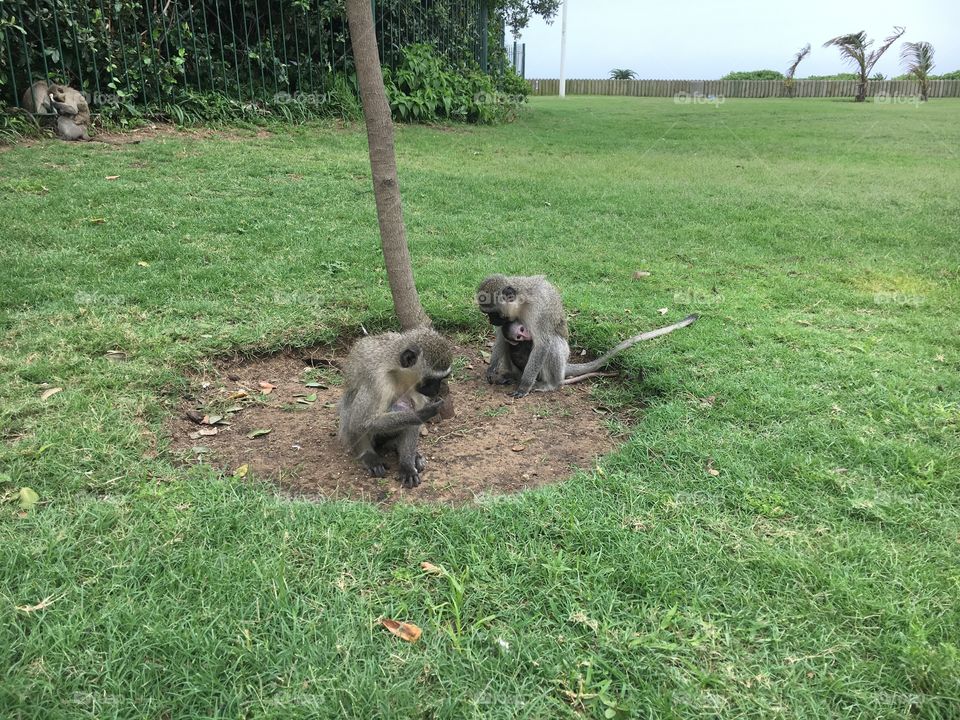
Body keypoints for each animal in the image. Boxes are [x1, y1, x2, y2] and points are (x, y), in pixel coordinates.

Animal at [338, 327, 453, 488]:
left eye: (442, 379)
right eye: (430, 380)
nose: (436, 391)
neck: (398, 373)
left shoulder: (415, 390)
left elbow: (412, 425)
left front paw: (407, 466)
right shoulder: (376, 381)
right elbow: (359, 422)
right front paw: (422, 413)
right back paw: (367, 455)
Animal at [477, 274, 698, 397]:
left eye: (493, 313)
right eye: (487, 314)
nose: (491, 321)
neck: (522, 301)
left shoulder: (540, 309)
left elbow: (543, 344)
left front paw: (524, 387)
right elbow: (501, 337)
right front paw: (491, 369)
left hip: (560, 359)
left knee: (553, 343)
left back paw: (549, 385)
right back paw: (509, 375)